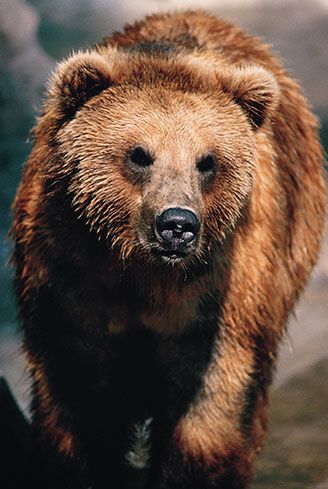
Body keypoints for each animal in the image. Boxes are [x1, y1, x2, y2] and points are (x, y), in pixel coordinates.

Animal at [10, 9, 326, 488]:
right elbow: (79, 392)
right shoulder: (70, 267)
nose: (177, 225)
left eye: (207, 161)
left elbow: (208, 399)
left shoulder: (221, 285)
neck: (142, 269)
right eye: (140, 154)